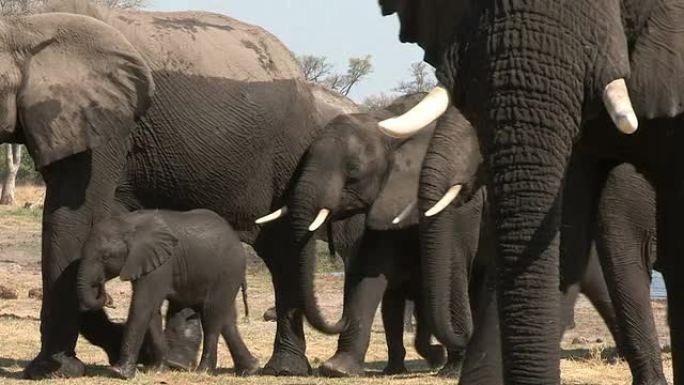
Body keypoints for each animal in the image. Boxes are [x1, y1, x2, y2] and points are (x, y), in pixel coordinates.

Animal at [77, 208, 260, 376]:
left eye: (105, 257)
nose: (107, 297)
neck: (129, 223)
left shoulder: (162, 264)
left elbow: (143, 306)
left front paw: (120, 373)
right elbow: (152, 312)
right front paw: (157, 370)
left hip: (227, 271)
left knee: (211, 317)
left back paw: (204, 371)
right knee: (227, 320)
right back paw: (249, 369)